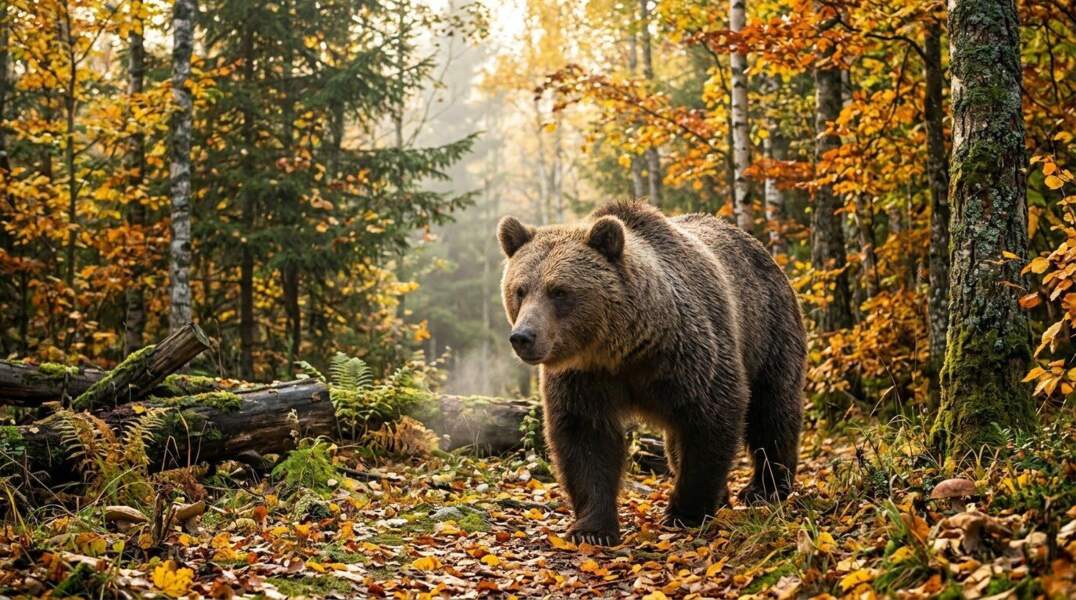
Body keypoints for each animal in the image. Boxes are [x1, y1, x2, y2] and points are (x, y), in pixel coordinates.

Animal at [497, 200, 806, 546]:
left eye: (559, 291)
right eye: (520, 290)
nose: (523, 336)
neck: (624, 349)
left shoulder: (689, 355)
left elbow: (711, 417)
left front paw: (686, 512)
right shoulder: (583, 376)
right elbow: (585, 436)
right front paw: (592, 529)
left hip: (769, 329)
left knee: (772, 409)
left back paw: (765, 488)